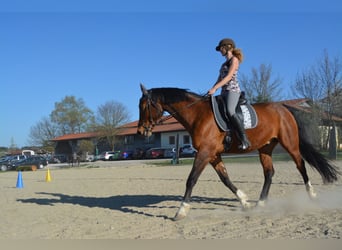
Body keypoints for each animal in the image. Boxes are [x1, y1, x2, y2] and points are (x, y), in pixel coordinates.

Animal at [136, 84, 340, 221]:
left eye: (144, 106)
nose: (140, 132)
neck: (198, 115)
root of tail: (284, 108)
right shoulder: (213, 155)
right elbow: (225, 179)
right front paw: (245, 201)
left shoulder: (204, 153)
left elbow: (191, 179)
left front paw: (181, 211)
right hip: (265, 148)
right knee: (269, 173)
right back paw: (261, 203)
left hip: (290, 144)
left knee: (301, 166)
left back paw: (312, 195)